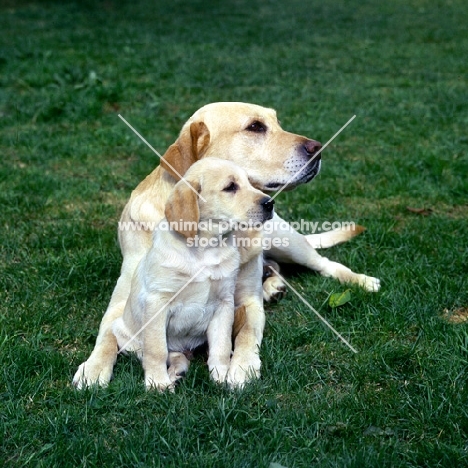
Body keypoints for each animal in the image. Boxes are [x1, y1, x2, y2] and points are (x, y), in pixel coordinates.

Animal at [111, 159, 272, 390]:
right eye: (230, 187)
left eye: (249, 182)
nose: (270, 204)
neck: (206, 247)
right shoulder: (157, 302)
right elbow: (156, 349)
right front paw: (157, 383)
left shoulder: (224, 303)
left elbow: (221, 345)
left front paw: (221, 376)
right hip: (126, 336)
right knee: (163, 352)